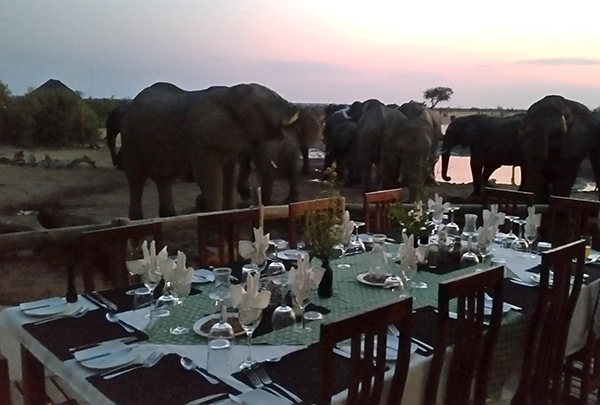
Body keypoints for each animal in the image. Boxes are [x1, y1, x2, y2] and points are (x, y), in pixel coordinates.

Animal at [120, 80, 298, 216]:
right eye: (257, 107)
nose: (248, 191)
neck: (231, 93)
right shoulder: (200, 140)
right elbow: (208, 178)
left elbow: (229, 175)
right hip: (130, 138)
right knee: (136, 179)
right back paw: (137, 220)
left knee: (164, 179)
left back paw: (168, 216)